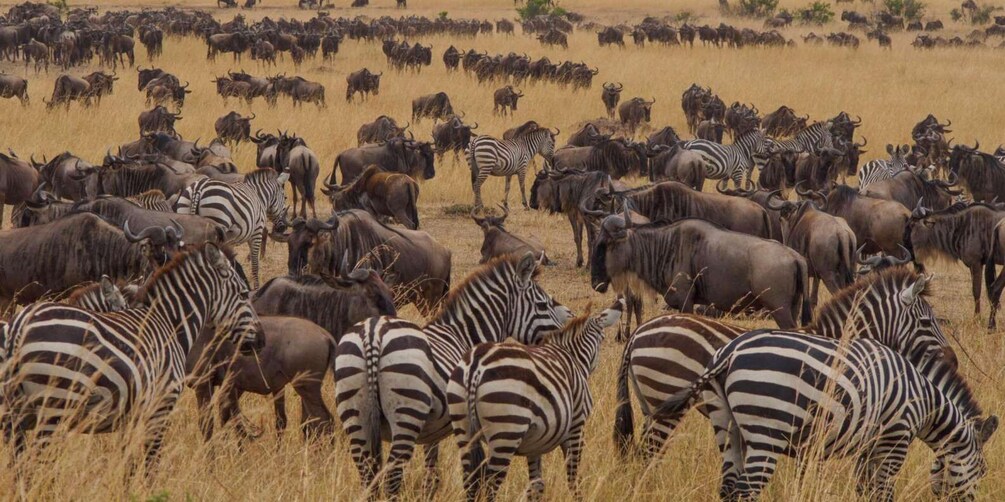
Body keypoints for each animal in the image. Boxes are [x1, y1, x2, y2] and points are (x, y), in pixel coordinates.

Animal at [0, 244, 262, 472]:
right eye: (244, 294)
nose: (262, 339)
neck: (170, 324)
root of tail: (18, 328)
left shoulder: (130, 415)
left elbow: (127, 464)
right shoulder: (161, 405)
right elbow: (151, 464)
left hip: (21, 416)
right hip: (53, 407)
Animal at [334, 252, 572, 498]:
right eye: (543, 304)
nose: (569, 321)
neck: (463, 335)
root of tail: (373, 334)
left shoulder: (431, 431)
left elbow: (432, 474)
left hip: (354, 413)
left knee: (367, 475)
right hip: (406, 412)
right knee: (392, 476)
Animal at [448, 300, 622, 502]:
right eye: (602, 338)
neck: (571, 355)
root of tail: (476, 365)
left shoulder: (535, 442)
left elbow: (537, 485)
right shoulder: (577, 425)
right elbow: (573, 476)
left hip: (463, 428)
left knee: (469, 482)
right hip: (506, 431)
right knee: (491, 486)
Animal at [613, 266, 954, 460]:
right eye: (927, 322)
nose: (953, 360)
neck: (837, 341)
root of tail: (639, 333)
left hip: (650, 404)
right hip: (665, 399)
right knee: (648, 454)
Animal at [654, 331, 997, 501]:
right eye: (982, 471)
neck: (925, 401)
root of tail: (729, 353)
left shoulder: (870, 443)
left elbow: (865, 488)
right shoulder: (896, 437)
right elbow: (884, 490)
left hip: (726, 424)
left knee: (727, 487)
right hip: (766, 430)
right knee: (746, 490)